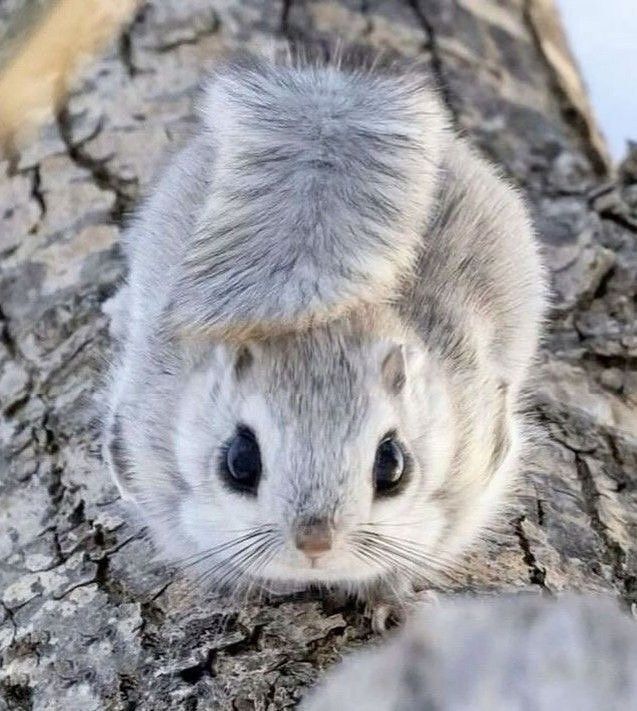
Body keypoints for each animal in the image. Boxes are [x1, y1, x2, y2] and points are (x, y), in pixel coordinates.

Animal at [103, 46, 546, 618]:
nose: (315, 543)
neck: (323, 329)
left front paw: (391, 601)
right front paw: (256, 588)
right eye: (238, 462)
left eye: (393, 465)